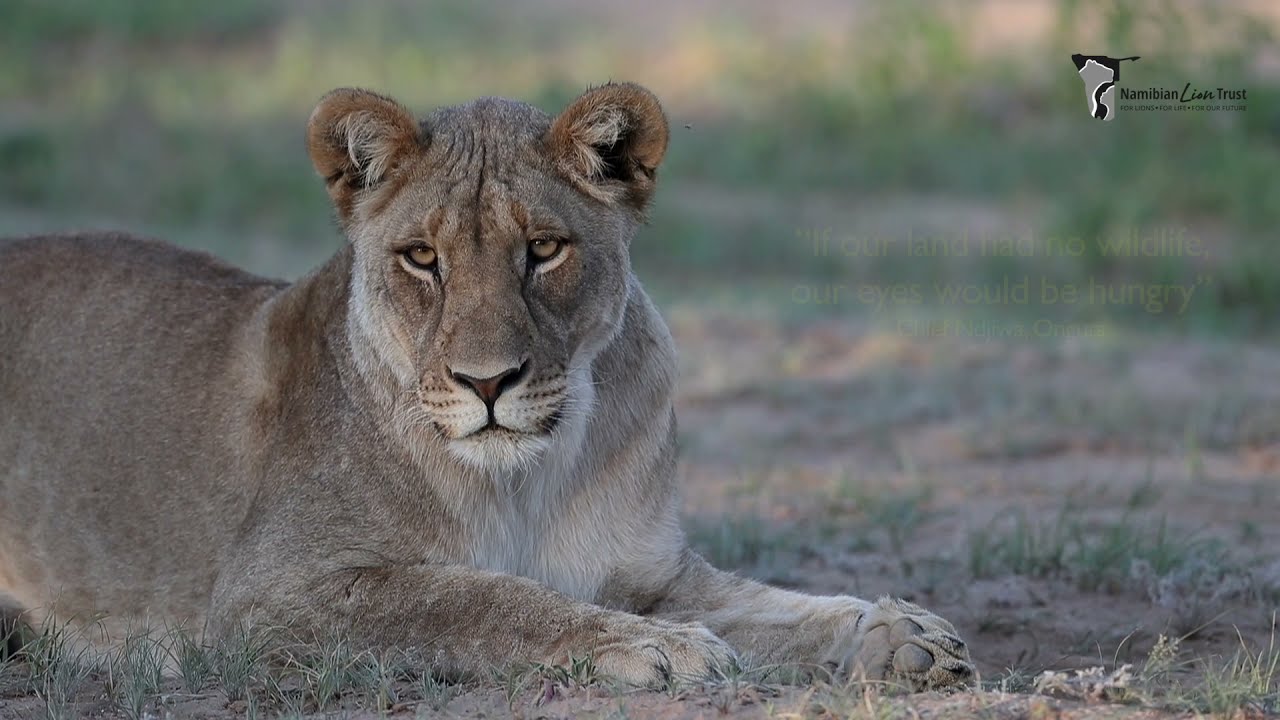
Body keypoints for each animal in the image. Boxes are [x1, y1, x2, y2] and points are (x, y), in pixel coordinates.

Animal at [0, 83, 973, 690]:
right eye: (421, 258)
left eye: (542, 248)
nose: (488, 381)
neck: (523, 479)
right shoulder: (267, 596)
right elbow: (481, 599)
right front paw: (653, 648)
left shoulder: (649, 568)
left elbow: (769, 606)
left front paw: (901, 636)